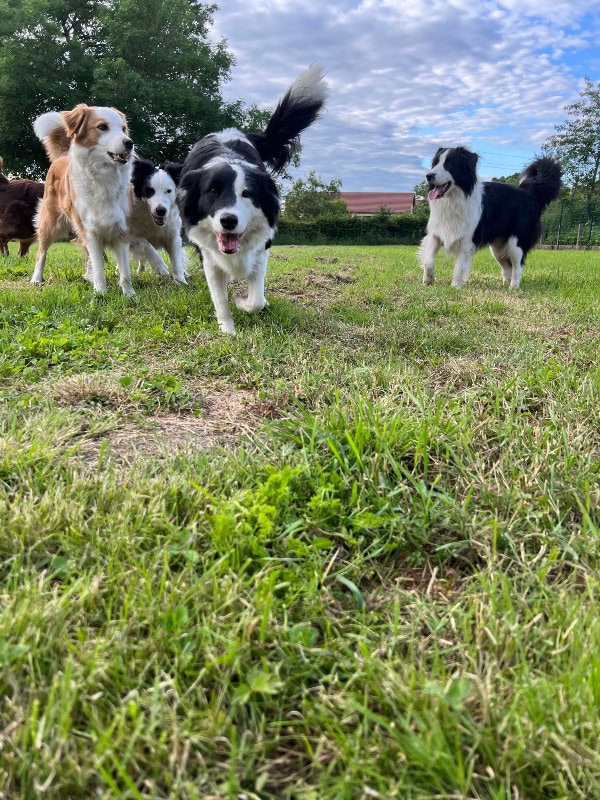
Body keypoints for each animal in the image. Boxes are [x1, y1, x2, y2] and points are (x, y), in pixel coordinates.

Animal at [32, 103, 136, 296]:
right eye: (102, 127)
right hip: (50, 222)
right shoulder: (90, 230)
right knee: (41, 252)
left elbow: (124, 269)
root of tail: (62, 156)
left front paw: (129, 294)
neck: (104, 176)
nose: (129, 143)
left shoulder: (122, 228)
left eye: (123, 129)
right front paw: (100, 293)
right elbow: (99, 266)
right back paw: (36, 278)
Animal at [176, 63, 328, 334]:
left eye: (247, 193)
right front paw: (228, 329)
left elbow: (255, 298)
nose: (228, 221)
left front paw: (244, 301)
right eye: (212, 191)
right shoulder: (208, 255)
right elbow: (219, 297)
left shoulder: (261, 249)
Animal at [418, 148, 564, 290]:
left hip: (516, 243)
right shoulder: (435, 234)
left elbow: (459, 268)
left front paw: (455, 287)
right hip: (497, 248)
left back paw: (513, 288)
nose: (428, 176)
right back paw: (505, 284)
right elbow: (428, 260)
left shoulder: (467, 241)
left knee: (517, 266)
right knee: (507, 267)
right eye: (434, 163)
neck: (452, 200)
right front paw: (428, 280)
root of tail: (529, 194)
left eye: (450, 164)